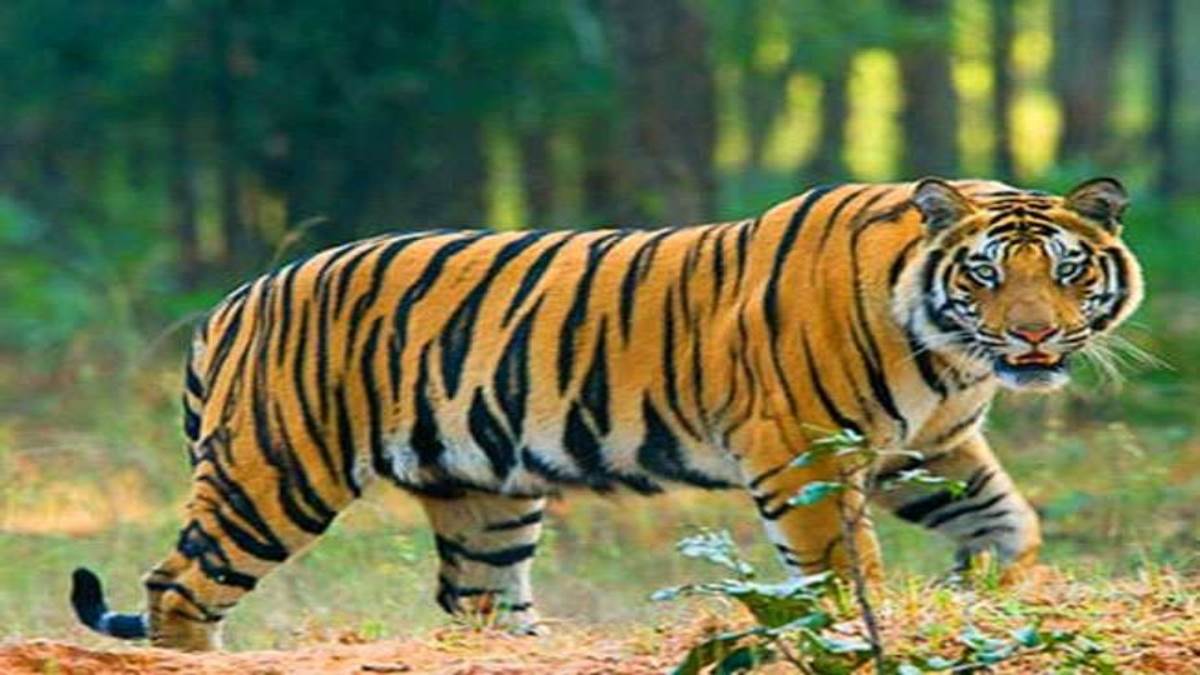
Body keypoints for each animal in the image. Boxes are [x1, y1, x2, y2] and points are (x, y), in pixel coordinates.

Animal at [69, 177, 1142, 651]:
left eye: (1067, 270)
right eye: (987, 275)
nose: (1036, 337)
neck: (947, 349)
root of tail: (235, 300)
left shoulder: (928, 448)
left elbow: (1009, 522)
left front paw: (987, 592)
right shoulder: (804, 450)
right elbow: (844, 570)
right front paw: (868, 633)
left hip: (484, 498)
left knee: (476, 601)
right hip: (275, 474)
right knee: (176, 587)